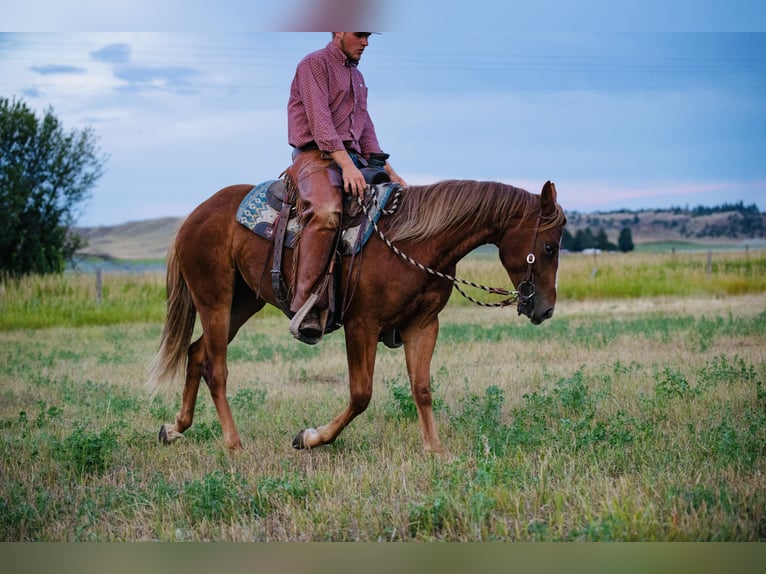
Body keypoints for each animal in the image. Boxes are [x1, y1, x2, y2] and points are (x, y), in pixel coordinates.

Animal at [146, 179, 566, 453]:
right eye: (549, 246)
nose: (545, 308)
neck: (415, 243)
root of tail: (192, 217)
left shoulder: (422, 325)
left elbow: (422, 388)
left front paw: (434, 448)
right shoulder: (361, 325)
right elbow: (361, 395)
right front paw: (311, 437)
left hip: (244, 302)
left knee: (197, 352)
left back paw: (176, 428)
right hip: (215, 299)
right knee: (216, 366)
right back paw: (234, 443)